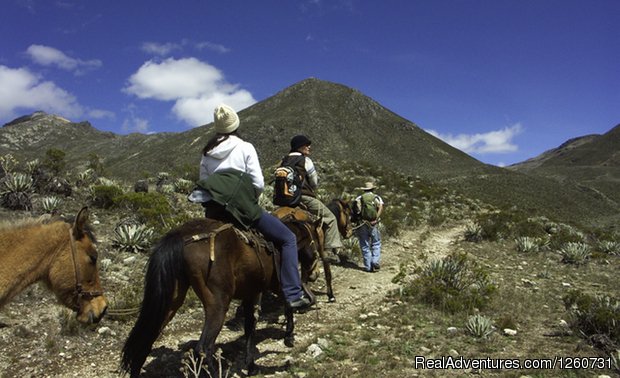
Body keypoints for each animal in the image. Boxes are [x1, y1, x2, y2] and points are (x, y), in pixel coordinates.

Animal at [120, 217, 300, 376]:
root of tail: (180, 235)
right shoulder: (274, 285)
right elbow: (287, 304)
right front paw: (288, 337)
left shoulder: (252, 293)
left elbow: (251, 326)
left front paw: (251, 365)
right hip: (218, 303)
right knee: (203, 348)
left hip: (171, 301)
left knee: (145, 342)